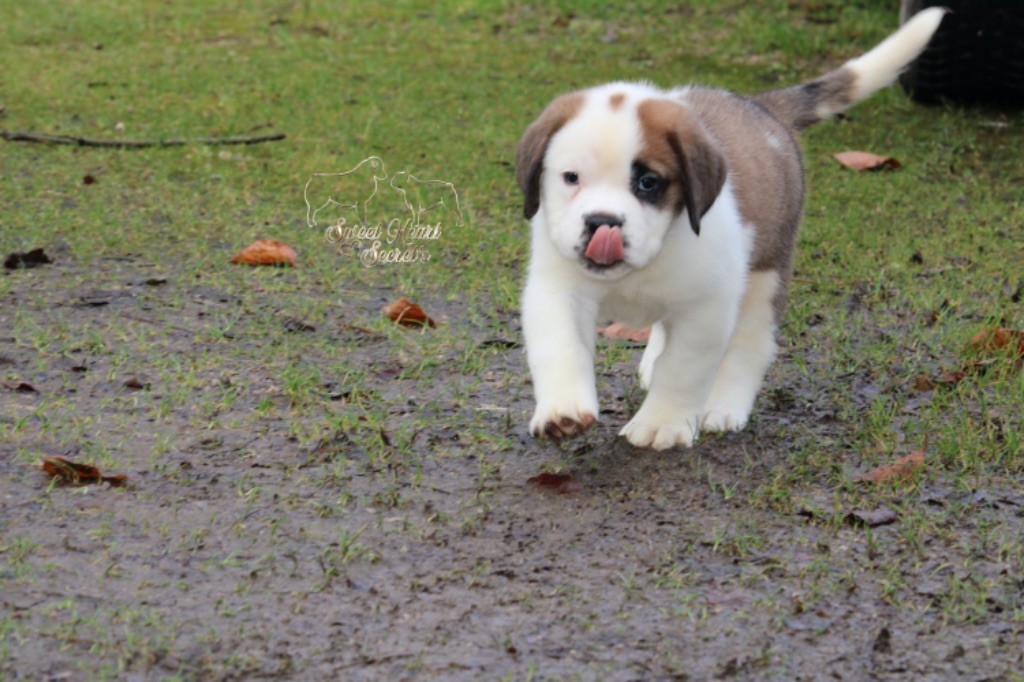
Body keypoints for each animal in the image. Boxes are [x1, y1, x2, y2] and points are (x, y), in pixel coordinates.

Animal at [516, 9, 946, 450]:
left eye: (648, 183)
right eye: (571, 177)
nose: (602, 222)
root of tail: (762, 107)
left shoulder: (708, 306)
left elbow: (683, 367)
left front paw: (661, 422)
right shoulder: (557, 288)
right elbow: (560, 346)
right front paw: (562, 410)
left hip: (766, 273)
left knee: (749, 344)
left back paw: (723, 404)